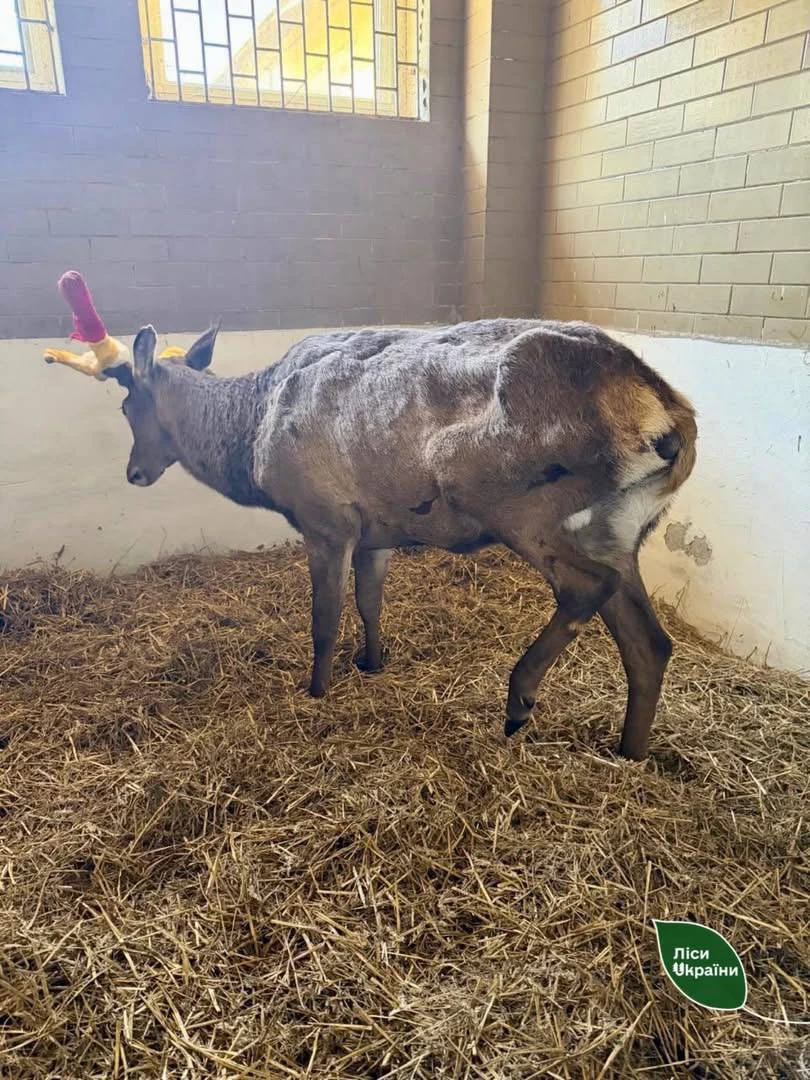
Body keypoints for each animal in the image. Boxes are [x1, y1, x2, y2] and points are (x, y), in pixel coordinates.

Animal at [48, 315, 697, 760]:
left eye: (127, 406)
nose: (134, 473)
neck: (251, 442)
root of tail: (670, 418)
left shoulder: (326, 520)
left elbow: (324, 619)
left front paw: (316, 690)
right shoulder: (378, 528)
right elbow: (369, 601)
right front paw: (373, 662)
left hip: (510, 497)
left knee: (586, 586)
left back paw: (519, 700)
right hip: (620, 527)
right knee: (649, 641)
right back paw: (630, 753)